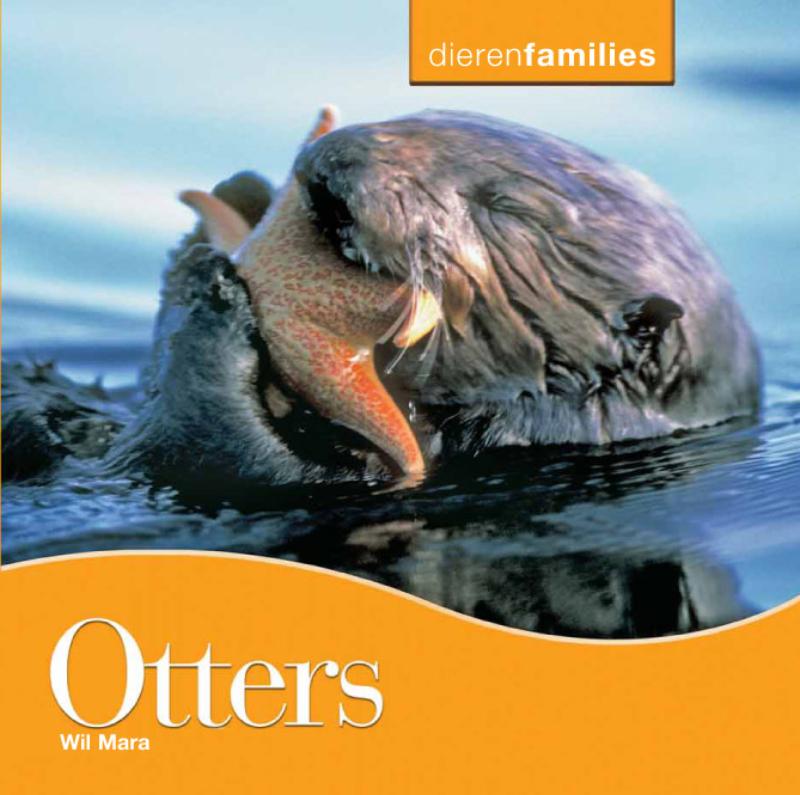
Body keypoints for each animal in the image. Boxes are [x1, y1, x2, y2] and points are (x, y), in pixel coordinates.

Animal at [3, 108, 760, 489]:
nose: (328, 165)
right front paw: (235, 205)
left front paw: (211, 285)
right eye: (425, 114)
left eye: (508, 209)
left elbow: (218, 455)